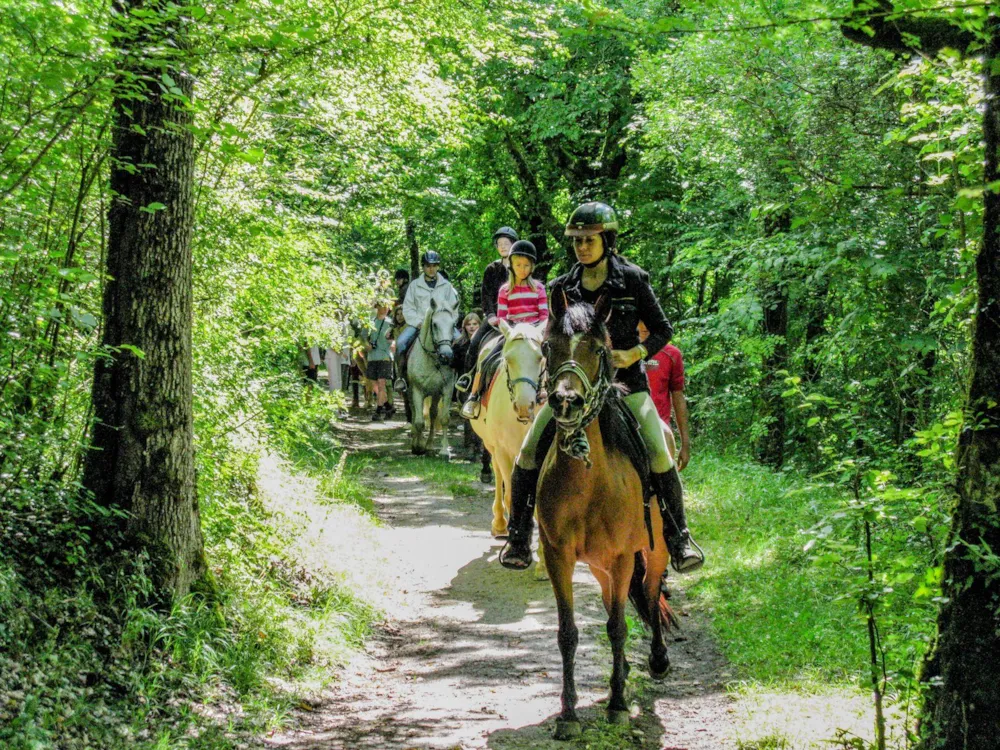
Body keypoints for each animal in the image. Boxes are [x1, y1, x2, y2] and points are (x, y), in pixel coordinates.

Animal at [404, 300, 458, 458]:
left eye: (453, 325)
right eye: (434, 324)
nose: (446, 355)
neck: (432, 360)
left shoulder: (447, 389)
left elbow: (444, 418)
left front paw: (445, 450)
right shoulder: (417, 390)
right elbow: (419, 421)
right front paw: (418, 447)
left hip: (434, 394)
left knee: (433, 414)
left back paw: (429, 445)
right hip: (410, 391)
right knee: (414, 413)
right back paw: (417, 441)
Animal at [466, 320, 548, 580]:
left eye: (540, 357)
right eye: (508, 359)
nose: (524, 406)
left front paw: (543, 563)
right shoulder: (503, 451)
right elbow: (512, 494)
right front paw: (517, 548)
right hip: (492, 445)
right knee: (498, 475)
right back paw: (500, 524)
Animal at [540, 296, 672, 744]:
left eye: (599, 350)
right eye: (547, 346)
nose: (565, 401)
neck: (588, 483)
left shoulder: (622, 556)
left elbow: (617, 627)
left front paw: (616, 705)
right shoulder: (558, 556)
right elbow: (567, 633)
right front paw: (567, 714)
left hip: (653, 552)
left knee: (649, 592)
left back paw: (657, 660)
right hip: (598, 565)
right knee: (613, 597)